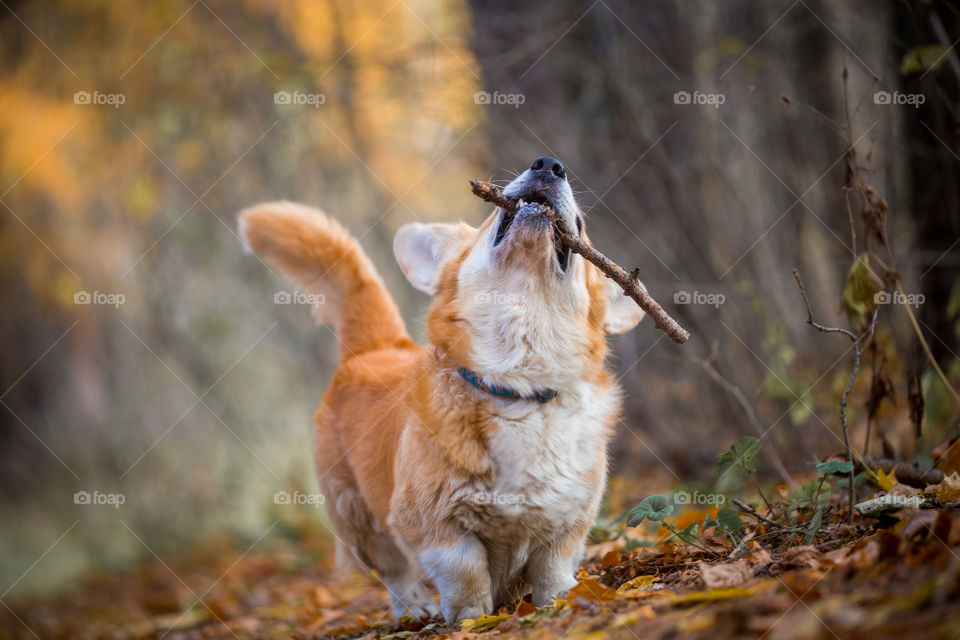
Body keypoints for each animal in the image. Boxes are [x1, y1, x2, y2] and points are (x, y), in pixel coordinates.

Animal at [239, 156, 644, 624]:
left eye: (578, 225)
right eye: (490, 215)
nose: (549, 165)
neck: (516, 386)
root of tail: (376, 347)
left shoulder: (570, 520)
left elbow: (553, 567)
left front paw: (558, 602)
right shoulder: (433, 524)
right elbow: (464, 570)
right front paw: (472, 618)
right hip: (357, 518)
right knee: (394, 571)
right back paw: (414, 608)